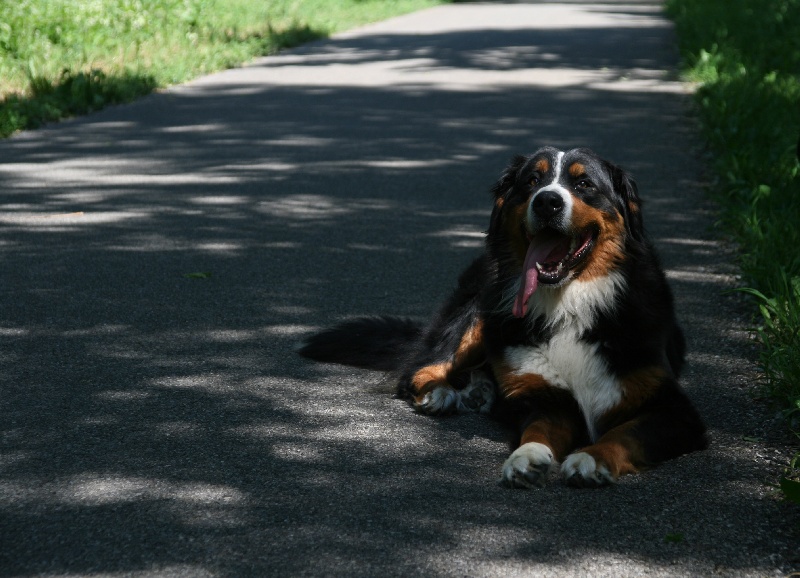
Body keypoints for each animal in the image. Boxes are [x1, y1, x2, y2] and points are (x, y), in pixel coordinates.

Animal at [300, 145, 708, 486]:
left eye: (584, 184)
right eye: (532, 181)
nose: (547, 202)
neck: (568, 304)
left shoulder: (673, 410)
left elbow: (625, 434)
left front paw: (591, 458)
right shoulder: (547, 399)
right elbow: (538, 429)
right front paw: (524, 457)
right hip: (480, 313)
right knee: (420, 367)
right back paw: (443, 393)